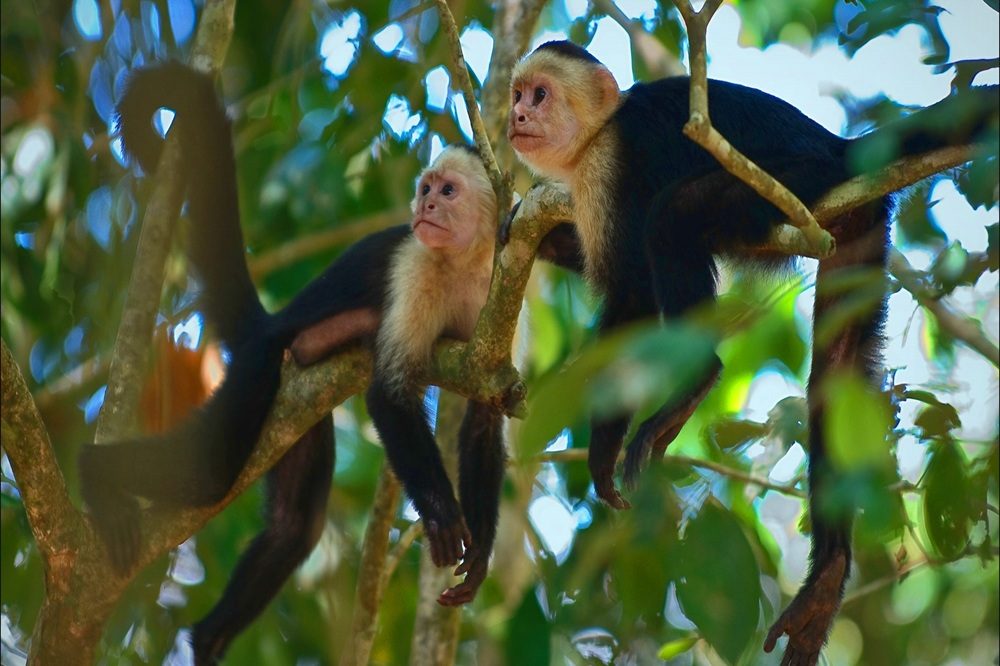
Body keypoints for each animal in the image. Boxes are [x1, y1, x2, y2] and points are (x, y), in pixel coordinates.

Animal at [77, 63, 506, 663]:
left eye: (448, 191)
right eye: (425, 189)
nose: (425, 208)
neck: (464, 264)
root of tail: (268, 324)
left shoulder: (500, 284)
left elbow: (486, 412)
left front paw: (482, 553)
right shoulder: (416, 267)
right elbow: (387, 393)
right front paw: (442, 514)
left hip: (296, 408)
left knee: (294, 527)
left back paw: (209, 638)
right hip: (261, 365)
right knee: (211, 472)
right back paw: (94, 471)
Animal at [504, 40, 997, 666]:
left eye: (540, 95)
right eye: (518, 95)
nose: (517, 115)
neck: (597, 134)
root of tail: (839, 148)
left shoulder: (611, 166)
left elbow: (633, 293)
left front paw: (604, 445)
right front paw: (517, 227)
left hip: (795, 182)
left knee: (674, 215)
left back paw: (693, 385)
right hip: (854, 222)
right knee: (833, 380)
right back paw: (828, 577)